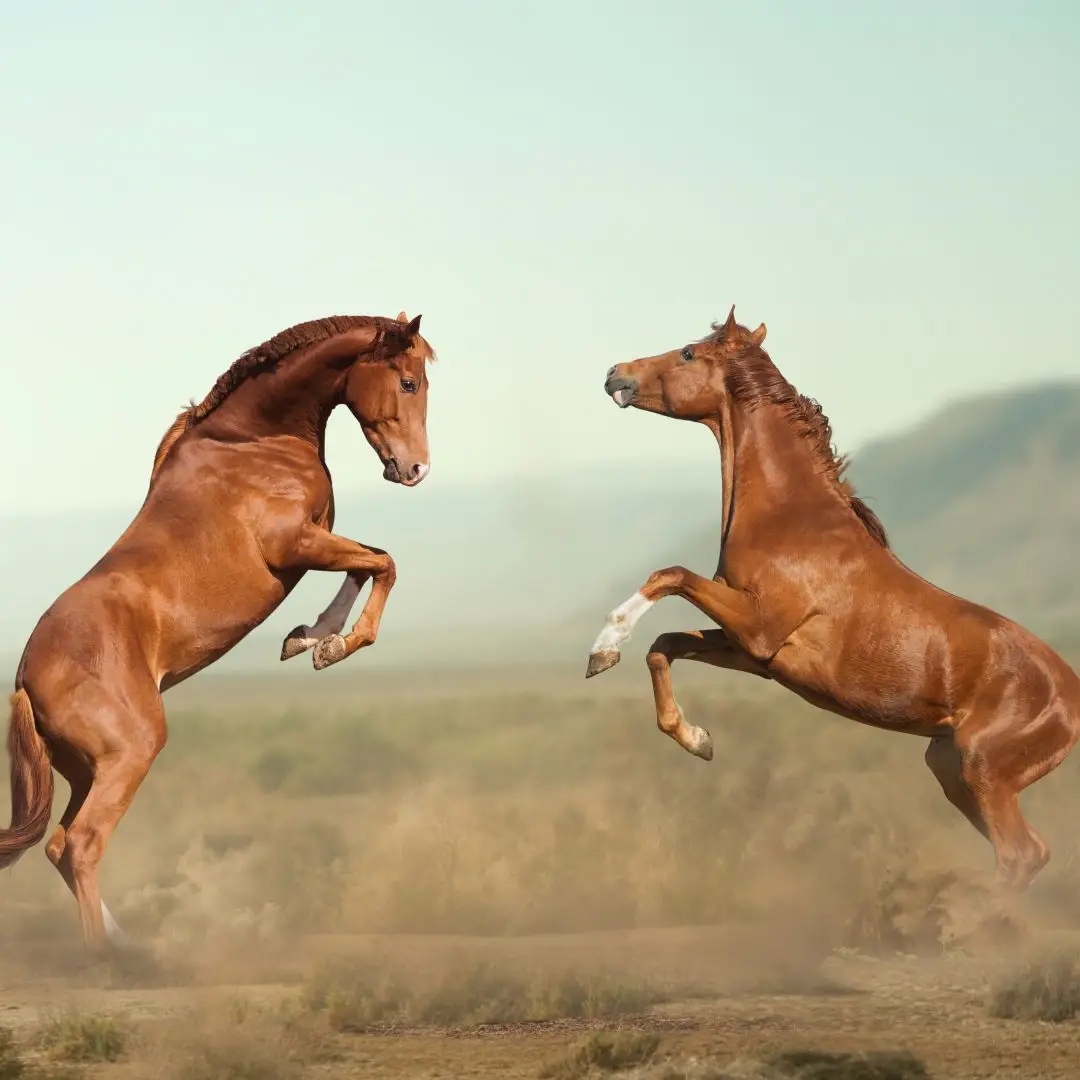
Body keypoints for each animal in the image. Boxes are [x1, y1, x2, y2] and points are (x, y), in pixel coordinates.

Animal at [1, 310, 436, 952]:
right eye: (408, 382)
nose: (416, 470)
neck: (254, 441)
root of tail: (26, 680)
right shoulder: (296, 543)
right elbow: (384, 563)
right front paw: (332, 646)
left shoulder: (318, 539)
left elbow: (368, 561)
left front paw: (307, 637)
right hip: (130, 753)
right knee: (82, 845)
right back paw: (113, 959)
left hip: (86, 770)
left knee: (59, 846)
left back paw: (126, 945)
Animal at [586, 306, 1080, 895]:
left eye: (687, 352)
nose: (614, 372)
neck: (791, 517)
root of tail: (1072, 696)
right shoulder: (752, 652)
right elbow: (664, 645)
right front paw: (697, 738)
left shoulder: (758, 626)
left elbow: (669, 575)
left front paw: (602, 646)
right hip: (949, 766)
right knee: (1024, 854)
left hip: (983, 768)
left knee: (1021, 854)